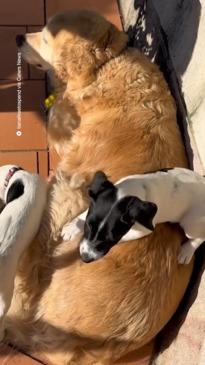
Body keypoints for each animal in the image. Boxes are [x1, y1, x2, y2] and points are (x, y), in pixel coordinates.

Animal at [62, 166, 205, 264]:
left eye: (112, 237)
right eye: (88, 225)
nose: (85, 258)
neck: (132, 192)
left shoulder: (142, 231)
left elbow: (123, 238)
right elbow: (86, 212)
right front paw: (72, 227)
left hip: (190, 223)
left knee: (200, 236)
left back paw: (187, 251)